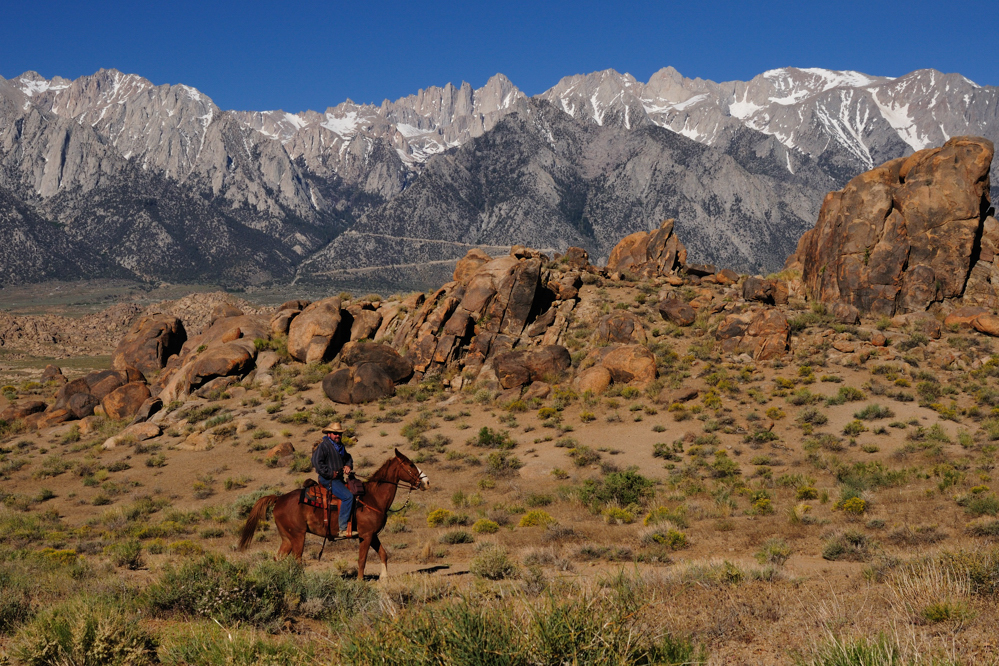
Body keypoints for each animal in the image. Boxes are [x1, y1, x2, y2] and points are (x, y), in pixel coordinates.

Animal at [243, 446, 434, 580]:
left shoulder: (372, 535)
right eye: (410, 464)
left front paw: (384, 577)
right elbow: (362, 559)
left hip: (287, 538)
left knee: (279, 558)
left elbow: (383, 554)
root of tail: (279, 498)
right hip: (297, 537)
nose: (427, 482)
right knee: (297, 560)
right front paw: (360, 582)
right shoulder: (365, 535)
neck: (373, 498)